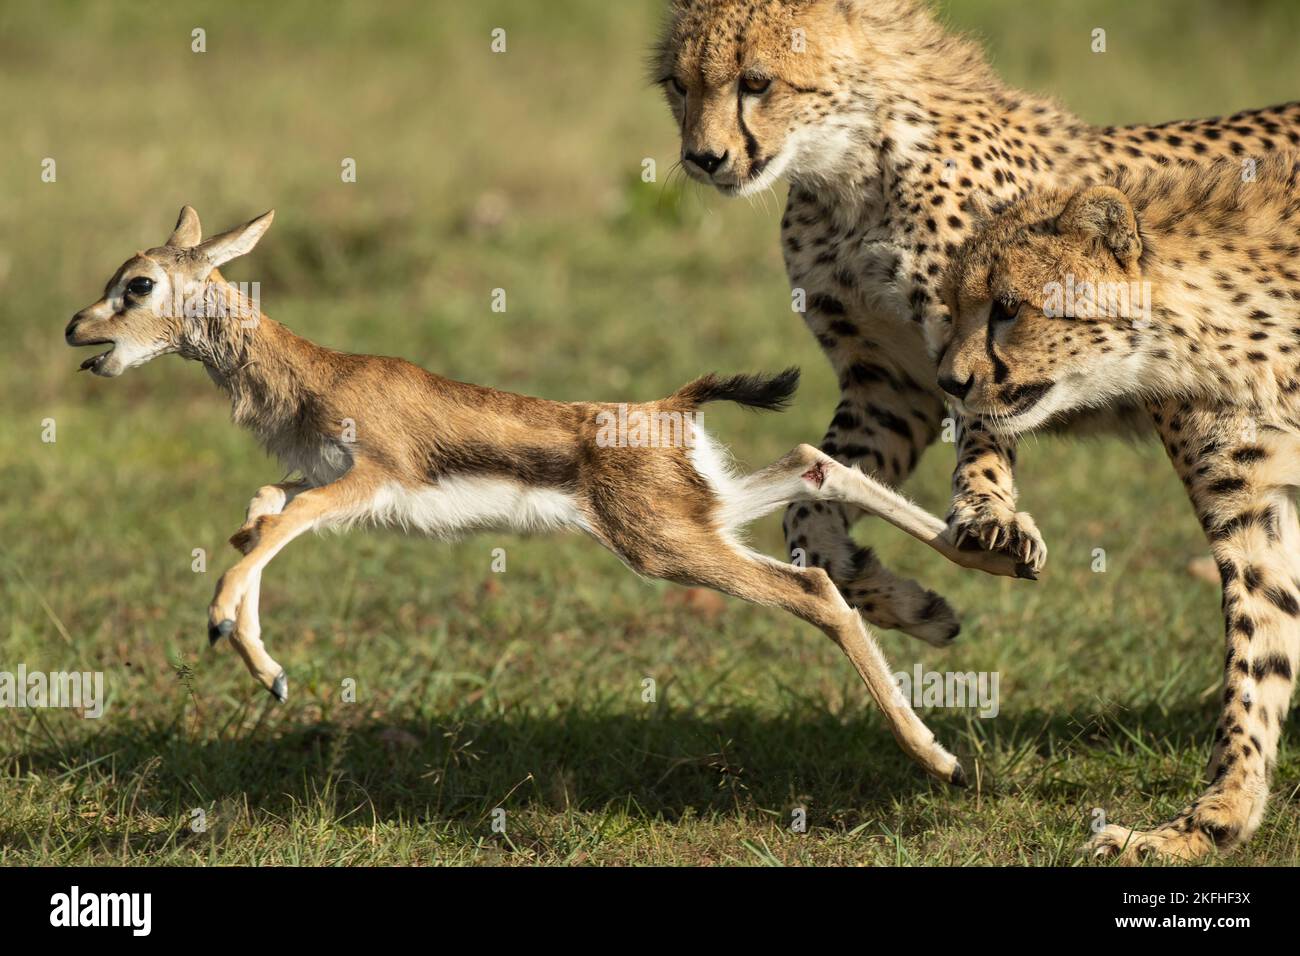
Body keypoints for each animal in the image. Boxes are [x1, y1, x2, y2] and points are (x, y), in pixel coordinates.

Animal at [655, 0, 1300, 650]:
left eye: (756, 82)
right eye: (679, 86)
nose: (703, 159)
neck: (850, 174)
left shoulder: (974, 349)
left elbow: (983, 430)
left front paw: (989, 516)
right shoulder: (890, 385)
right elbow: (808, 511)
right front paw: (901, 601)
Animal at [941, 155, 1300, 858]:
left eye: (1007, 307)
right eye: (952, 306)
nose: (950, 381)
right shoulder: (1252, 513)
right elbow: (1258, 652)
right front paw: (1205, 823)